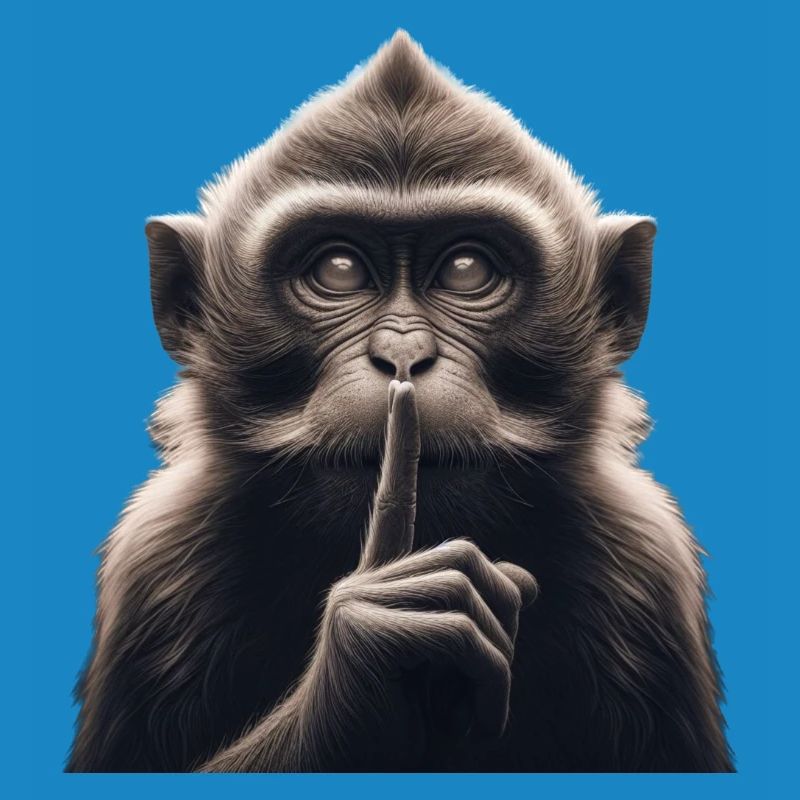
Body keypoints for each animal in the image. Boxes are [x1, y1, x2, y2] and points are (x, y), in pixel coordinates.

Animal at [67, 31, 733, 772]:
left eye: (468, 269)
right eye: (338, 269)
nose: (403, 354)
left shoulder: (647, 565)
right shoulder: (156, 562)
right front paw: (371, 651)